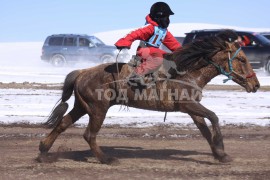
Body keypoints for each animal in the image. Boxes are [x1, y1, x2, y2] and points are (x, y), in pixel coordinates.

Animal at [38, 31, 260, 164]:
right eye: (241, 59)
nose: (256, 85)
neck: (188, 71)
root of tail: (82, 72)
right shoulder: (188, 105)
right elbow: (213, 116)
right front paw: (221, 149)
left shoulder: (192, 109)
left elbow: (205, 130)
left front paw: (219, 154)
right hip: (98, 110)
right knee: (89, 134)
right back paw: (106, 159)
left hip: (83, 107)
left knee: (62, 124)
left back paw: (42, 152)